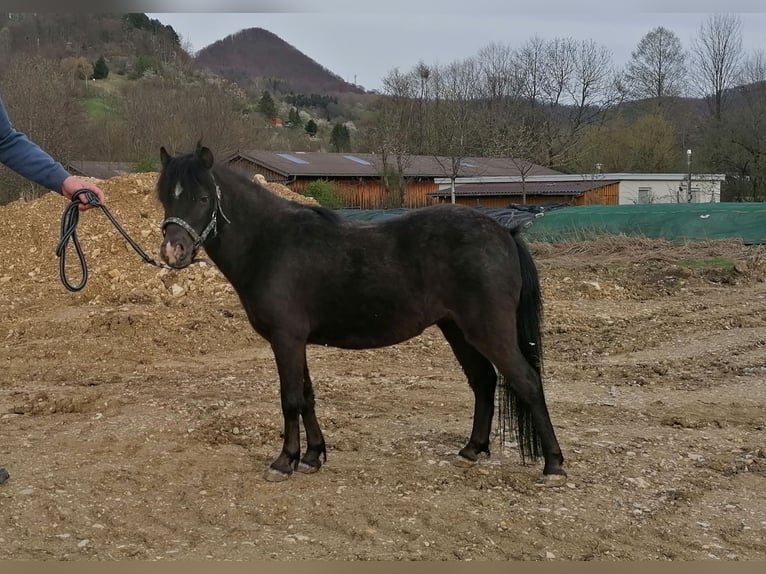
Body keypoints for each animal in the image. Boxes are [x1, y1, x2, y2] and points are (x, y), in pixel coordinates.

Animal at [156, 145, 568, 486]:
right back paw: (471, 450)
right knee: (483, 381)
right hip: (457, 329)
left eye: (203, 197)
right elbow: (307, 396)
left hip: (488, 330)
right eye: (164, 197)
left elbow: (290, 398)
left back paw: (553, 465)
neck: (270, 244)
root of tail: (505, 231)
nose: (173, 252)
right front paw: (312, 456)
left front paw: (284, 461)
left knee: (527, 382)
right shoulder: (296, 341)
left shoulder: (286, 339)